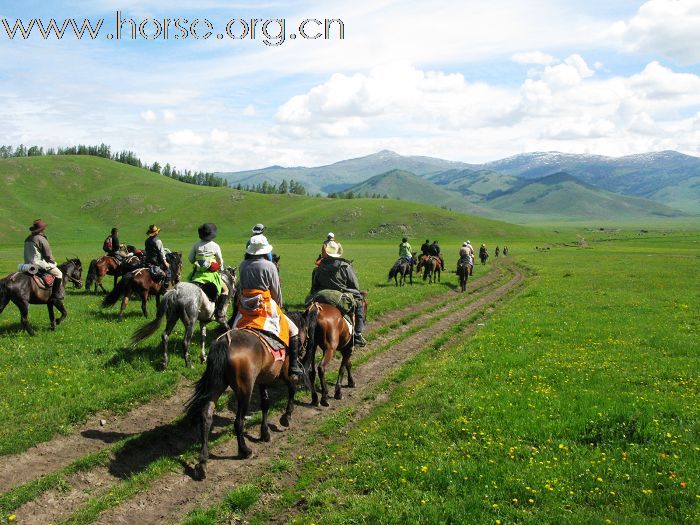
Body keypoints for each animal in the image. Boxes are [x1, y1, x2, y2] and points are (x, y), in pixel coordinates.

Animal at [185, 330, 296, 476]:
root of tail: (225, 342)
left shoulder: (263, 378)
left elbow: (265, 403)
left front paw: (265, 433)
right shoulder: (283, 371)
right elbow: (292, 388)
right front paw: (286, 416)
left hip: (217, 385)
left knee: (206, 415)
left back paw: (203, 462)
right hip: (245, 390)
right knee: (238, 421)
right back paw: (245, 450)